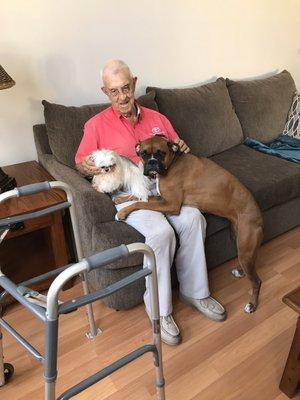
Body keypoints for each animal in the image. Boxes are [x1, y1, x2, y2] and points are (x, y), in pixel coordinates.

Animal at [117, 136, 262, 314]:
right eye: (144, 154)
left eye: (160, 153)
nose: (151, 162)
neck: (173, 163)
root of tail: (258, 214)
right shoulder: (161, 199)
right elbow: (142, 196)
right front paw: (120, 199)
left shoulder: (171, 205)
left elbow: (141, 203)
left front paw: (123, 212)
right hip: (239, 242)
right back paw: (240, 271)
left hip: (246, 248)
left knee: (256, 281)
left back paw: (252, 305)